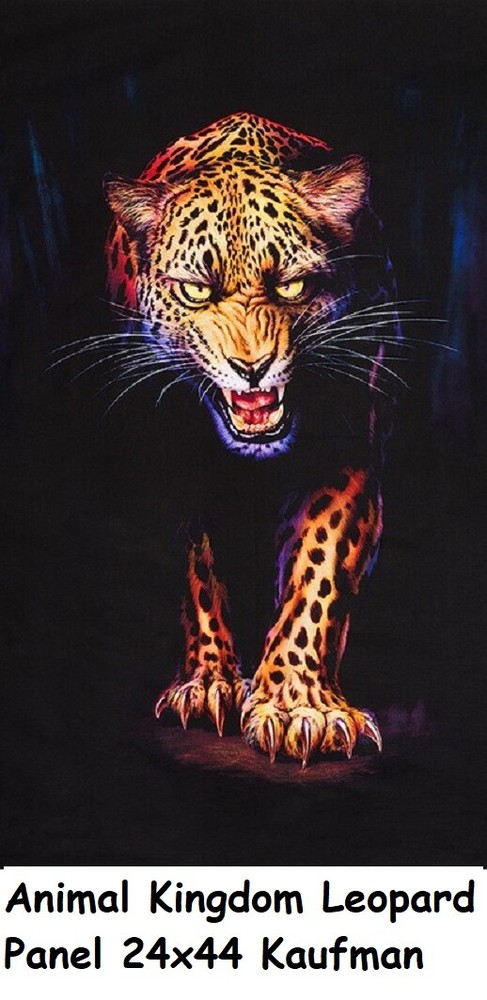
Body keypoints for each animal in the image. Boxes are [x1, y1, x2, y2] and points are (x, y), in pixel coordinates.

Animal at [103, 112, 400, 767]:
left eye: (290, 286)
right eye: (196, 290)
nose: (253, 366)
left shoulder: (346, 452)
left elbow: (318, 570)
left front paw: (299, 705)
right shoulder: (176, 462)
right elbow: (198, 572)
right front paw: (208, 682)